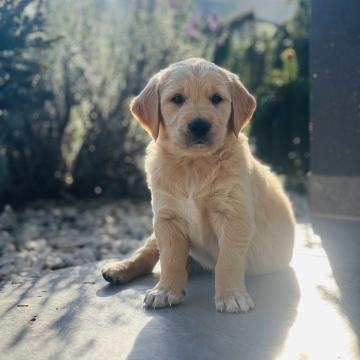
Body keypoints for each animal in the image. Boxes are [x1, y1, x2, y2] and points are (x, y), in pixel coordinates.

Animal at [102, 58, 296, 312]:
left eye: (216, 98)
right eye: (177, 99)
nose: (200, 125)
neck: (193, 164)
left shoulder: (234, 216)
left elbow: (228, 259)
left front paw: (231, 295)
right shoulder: (166, 218)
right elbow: (170, 258)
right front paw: (165, 291)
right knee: (146, 253)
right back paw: (118, 268)